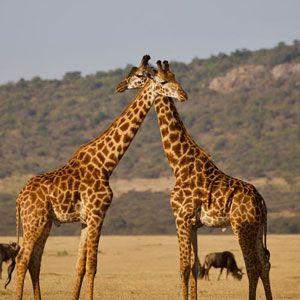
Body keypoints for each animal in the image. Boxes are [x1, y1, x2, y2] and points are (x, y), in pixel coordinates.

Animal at [14, 54, 188, 300]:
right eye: (163, 81)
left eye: (174, 77)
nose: (184, 95)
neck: (106, 163)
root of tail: (19, 197)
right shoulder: (98, 213)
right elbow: (92, 266)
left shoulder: (86, 219)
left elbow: (80, 266)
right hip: (34, 221)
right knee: (21, 259)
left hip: (44, 223)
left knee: (34, 262)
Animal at [116, 59, 274, 300]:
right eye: (166, 79)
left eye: (139, 74)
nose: (120, 85)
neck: (179, 163)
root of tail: (261, 200)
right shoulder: (193, 224)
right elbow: (194, 267)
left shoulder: (180, 218)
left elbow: (183, 268)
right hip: (257, 229)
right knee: (264, 264)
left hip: (243, 227)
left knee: (252, 267)